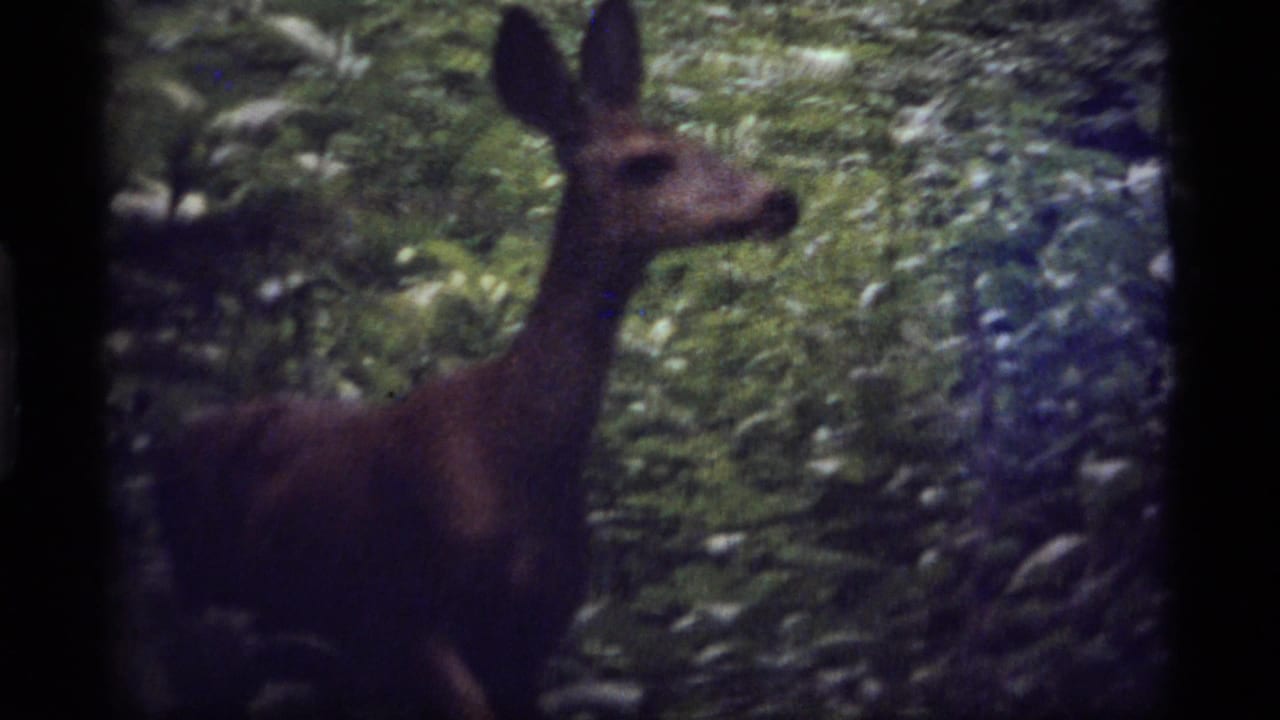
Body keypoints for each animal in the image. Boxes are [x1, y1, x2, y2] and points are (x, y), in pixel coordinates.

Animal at [157, 0, 798, 718]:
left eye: (696, 139)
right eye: (647, 162)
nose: (780, 200)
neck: (518, 451)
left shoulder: (534, 637)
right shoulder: (410, 622)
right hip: (202, 603)